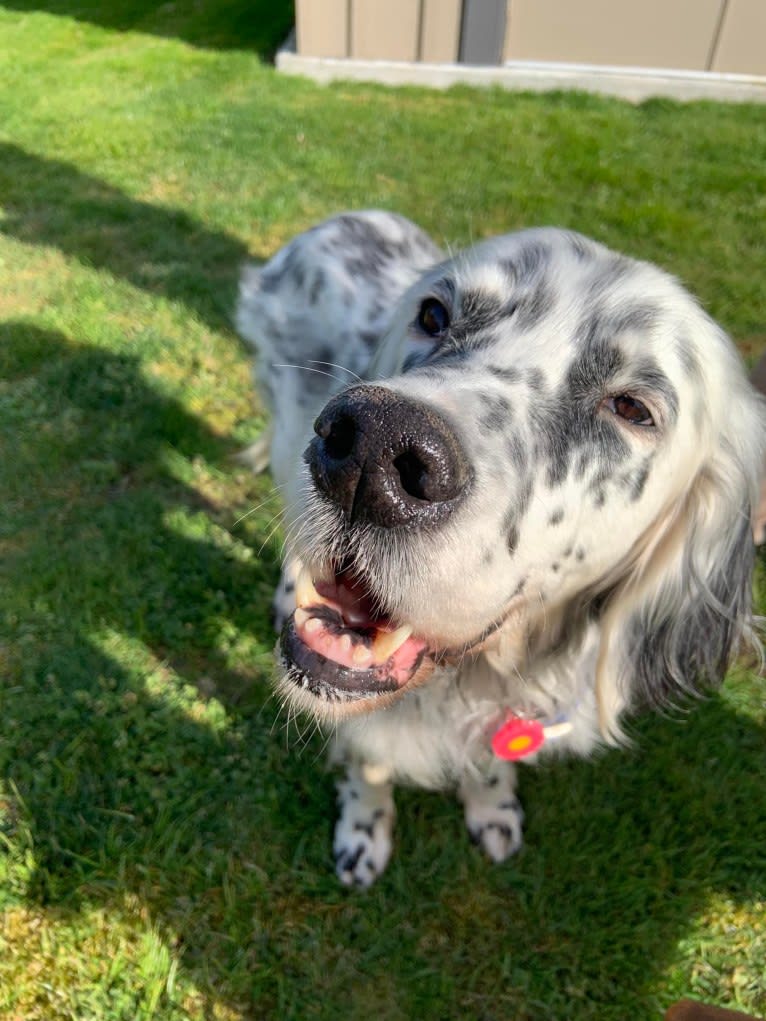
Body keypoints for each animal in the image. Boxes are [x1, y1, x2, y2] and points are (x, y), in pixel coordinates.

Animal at [238, 213, 766, 886]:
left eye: (631, 407)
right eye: (434, 314)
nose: (373, 451)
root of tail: (346, 217)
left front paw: (491, 808)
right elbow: (368, 765)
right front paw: (363, 830)